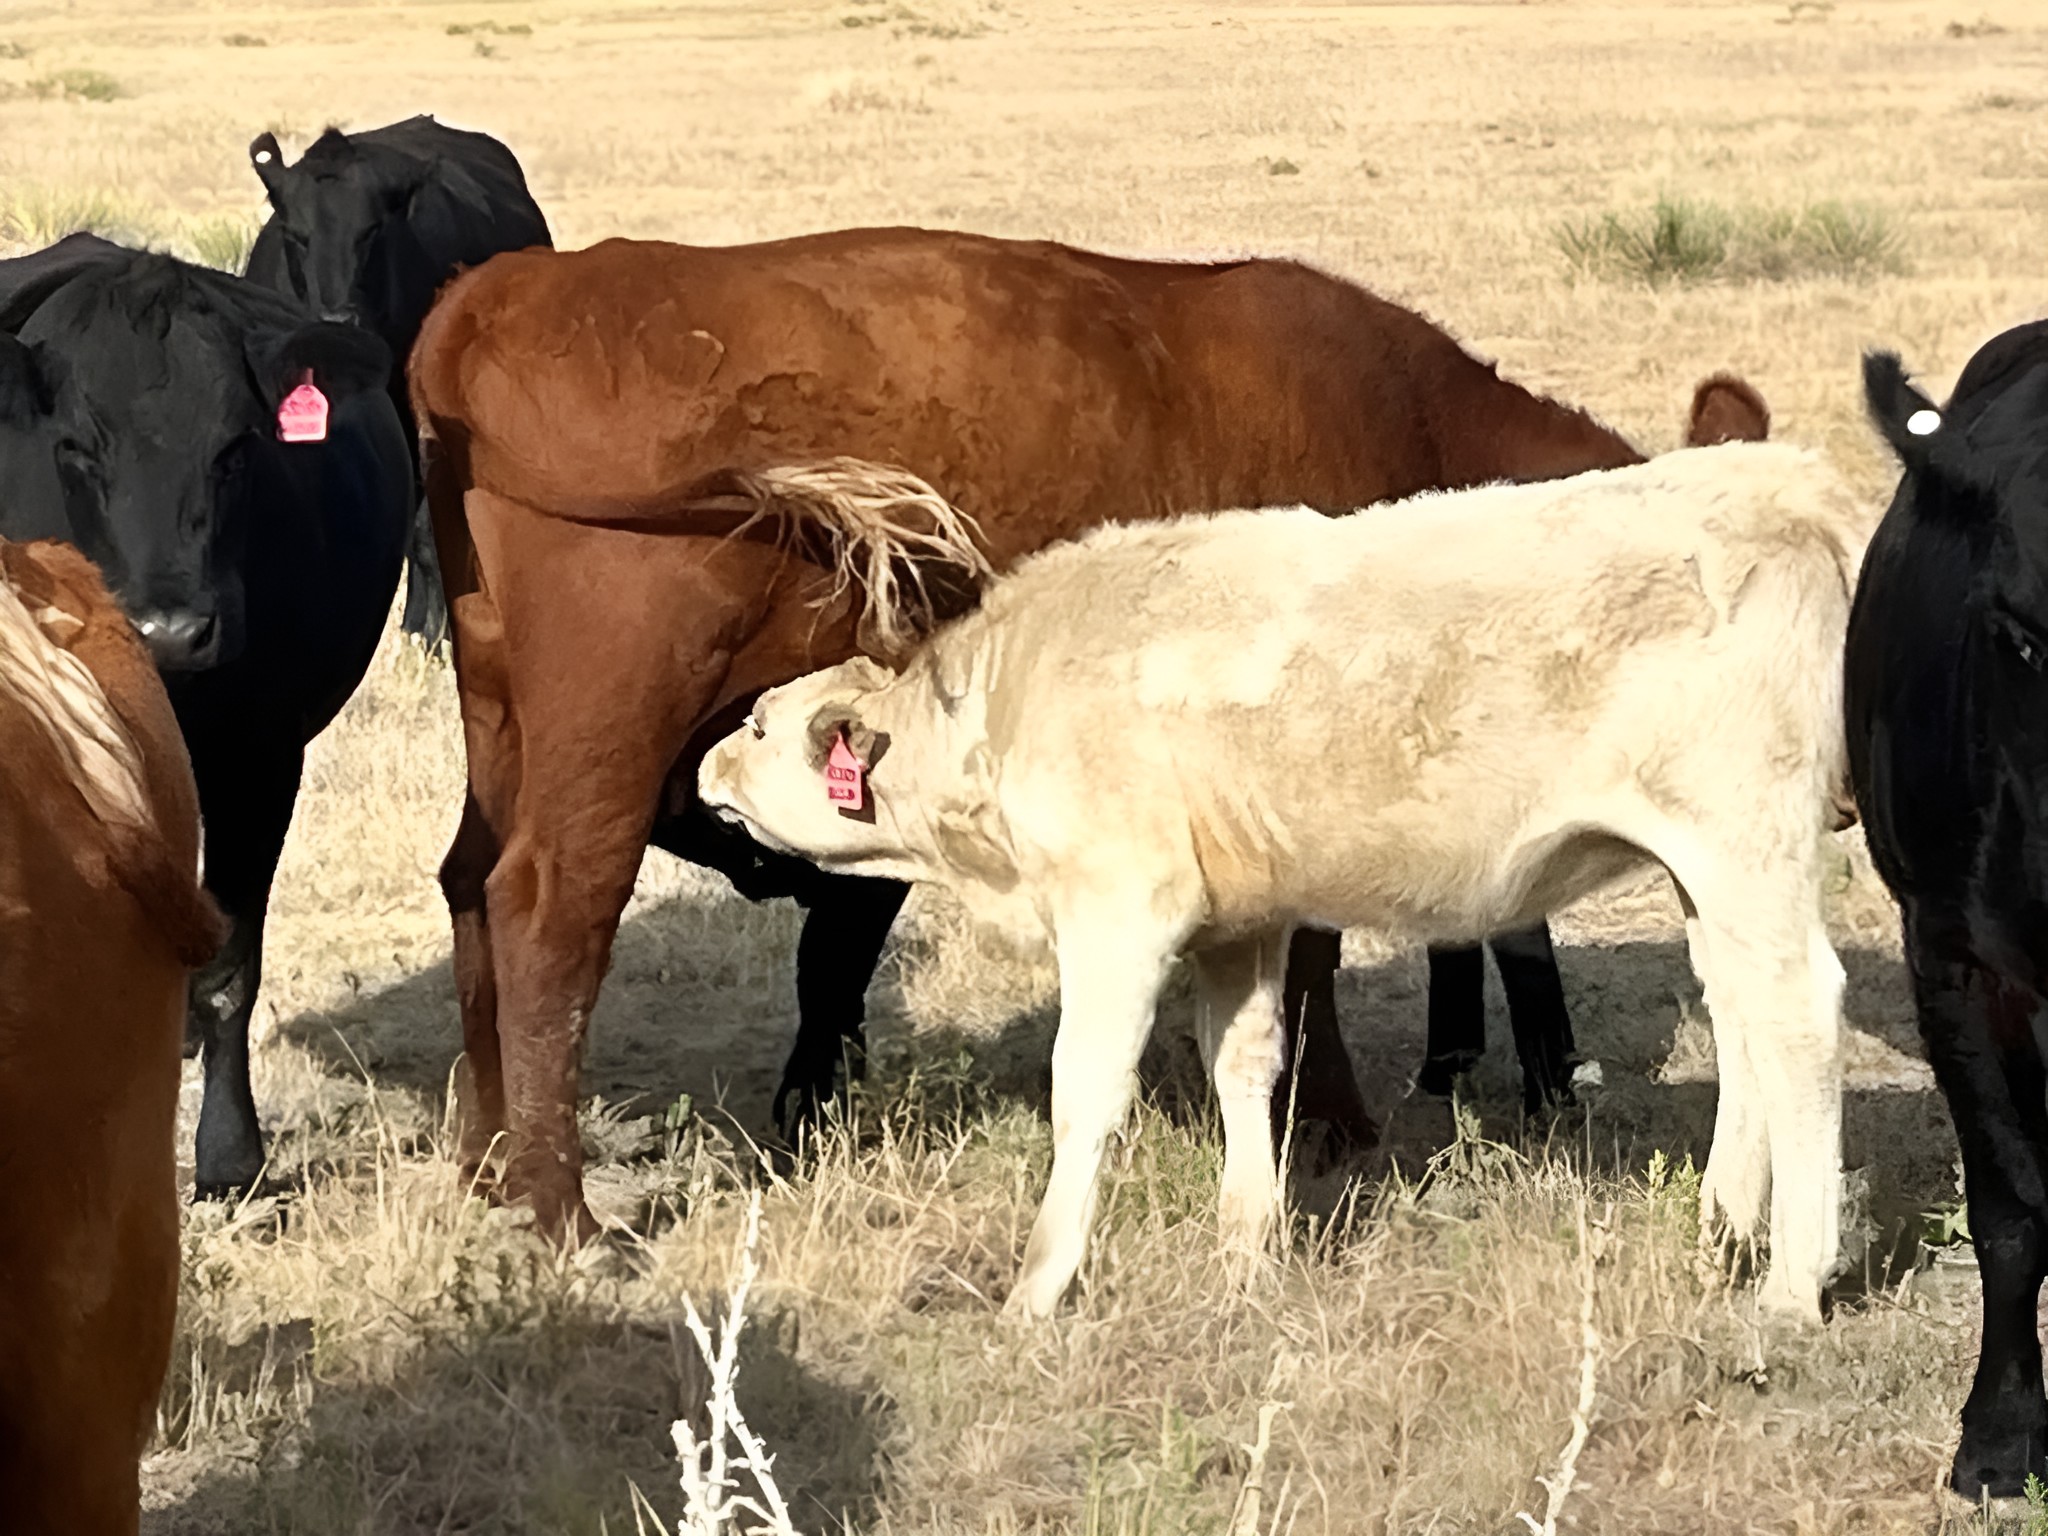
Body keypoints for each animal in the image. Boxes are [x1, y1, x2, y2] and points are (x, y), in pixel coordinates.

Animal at [0, 236, 415, 1196]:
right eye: (76, 448)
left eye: (235, 449)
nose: (172, 629)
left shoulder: (259, 761)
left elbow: (231, 966)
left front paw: (229, 1155)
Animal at [410, 226, 1771, 1242]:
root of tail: (509, 293)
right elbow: (1312, 965)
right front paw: (1328, 1128)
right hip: (610, 729)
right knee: (549, 913)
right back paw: (559, 1210)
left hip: (503, 726)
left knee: (470, 885)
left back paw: (483, 1162)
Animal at [698, 441, 1863, 1319]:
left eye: (756, 723)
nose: (705, 764)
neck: (1013, 694)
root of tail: (1789, 481)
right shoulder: (1239, 922)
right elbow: (1246, 1063)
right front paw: (1244, 1250)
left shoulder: (1119, 909)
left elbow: (1086, 1086)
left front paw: (1038, 1286)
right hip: (1704, 871)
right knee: (1741, 1017)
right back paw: (1722, 1233)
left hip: (1744, 839)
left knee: (1797, 1015)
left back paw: (1790, 1284)